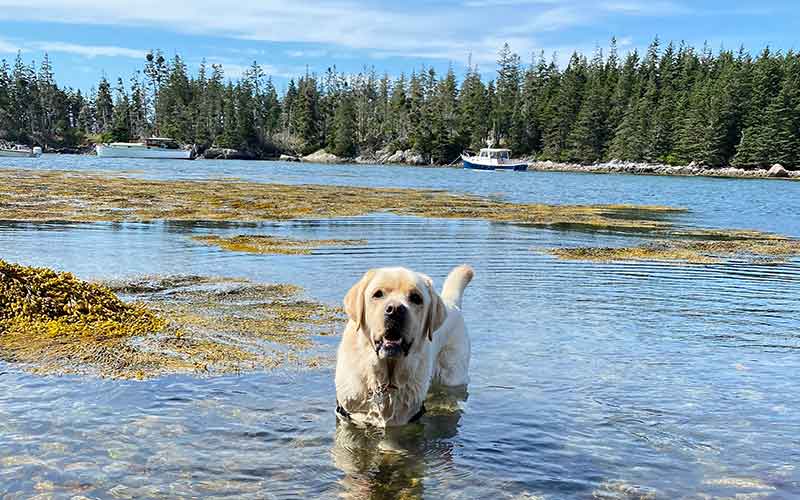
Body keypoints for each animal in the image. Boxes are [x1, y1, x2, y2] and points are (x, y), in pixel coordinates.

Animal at [334, 266, 472, 426]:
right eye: (378, 294)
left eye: (416, 298)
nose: (395, 310)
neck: (386, 384)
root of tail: (452, 303)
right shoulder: (348, 417)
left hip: (452, 376)